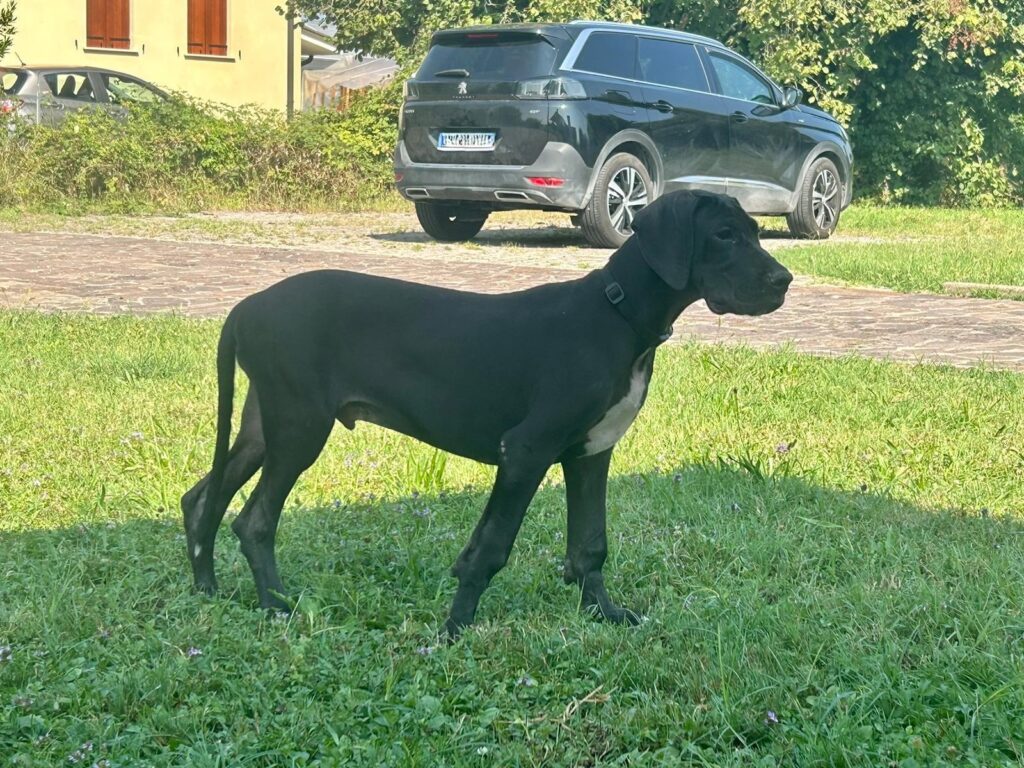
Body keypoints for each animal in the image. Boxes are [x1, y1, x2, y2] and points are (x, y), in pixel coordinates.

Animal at [184, 191, 790, 638]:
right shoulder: (526, 451)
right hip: (300, 426)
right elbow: (493, 548)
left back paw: (206, 589)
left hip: (266, 424)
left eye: (756, 231)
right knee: (253, 520)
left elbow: (589, 546)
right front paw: (455, 628)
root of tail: (246, 306)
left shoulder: (591, 454)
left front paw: (605, 615)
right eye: (724, 235)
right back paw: (276, 607)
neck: (619, 314)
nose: (783, 282)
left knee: (200, 500)